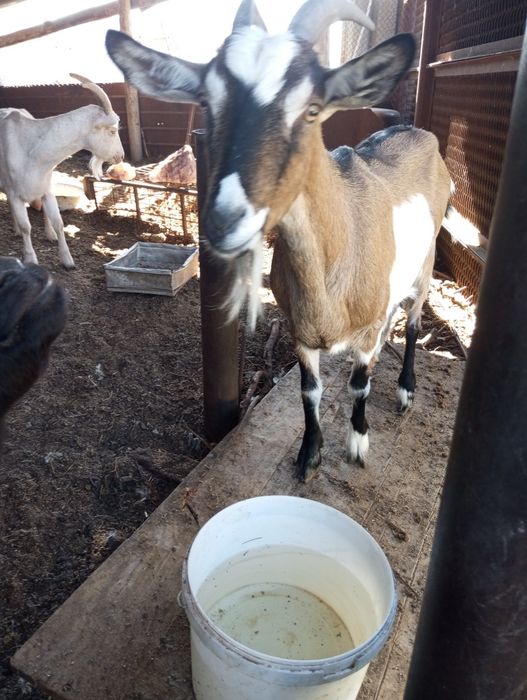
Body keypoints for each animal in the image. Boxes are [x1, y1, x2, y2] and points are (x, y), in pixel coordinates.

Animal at [0, 74, 124, 269]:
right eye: (112, 131)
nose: (120, 156)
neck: (32, 150)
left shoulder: (47, 190)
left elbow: (59, 223)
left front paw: (67, 260)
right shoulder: (14, 193)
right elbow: (27, 226)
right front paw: (30, 258)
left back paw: (48, 234)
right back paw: (17, 230)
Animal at [106, 0, 451, 482]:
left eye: (313, 108)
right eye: (208, 102)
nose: (226, 219)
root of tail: (416, 132)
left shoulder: (363, 329)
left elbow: (358, 384)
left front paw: (358, 442)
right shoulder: (297, 330)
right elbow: (310, 391)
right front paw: (309, 455)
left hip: (426, 263)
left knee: (416, 320)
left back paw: (405, 389)